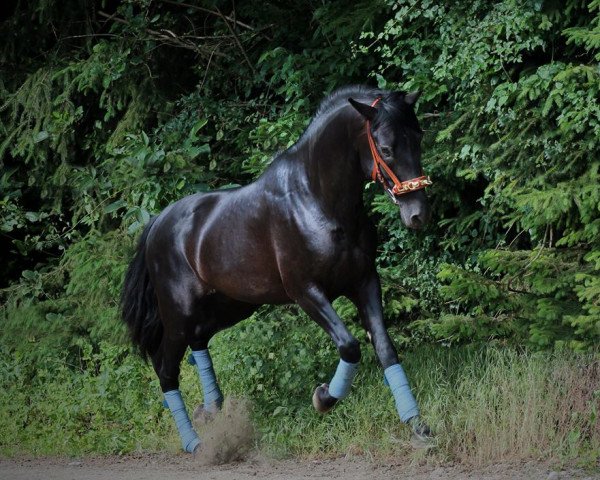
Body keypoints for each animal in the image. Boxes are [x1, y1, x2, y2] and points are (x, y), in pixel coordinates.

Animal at [120, 84, 432, 452]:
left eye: (419, 137)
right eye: (385, 148)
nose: (418, 214)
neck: (317, 200)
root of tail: (157, 223)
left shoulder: (365, 282)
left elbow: (385, 349)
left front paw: (418, 427)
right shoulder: (306, 292)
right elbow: (350, 346)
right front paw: (323, 398)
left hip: (231, 306)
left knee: (199, 342)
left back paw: (210, 410)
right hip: (178, 316)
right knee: (166, 369)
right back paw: (195, 444)